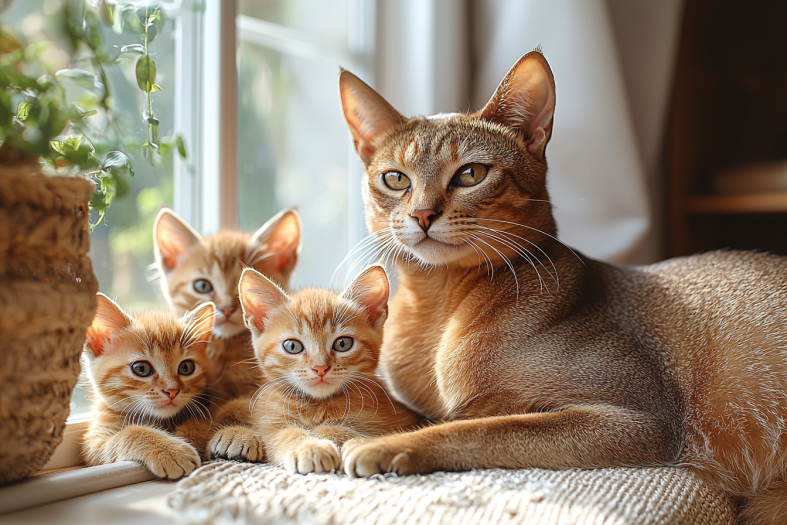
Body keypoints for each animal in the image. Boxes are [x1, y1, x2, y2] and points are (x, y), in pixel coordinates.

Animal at [81, 292, 215, 476]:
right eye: (141, 369)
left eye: (186, 367)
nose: (172, 391)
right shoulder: (94, 446)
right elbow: (129, 433)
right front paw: (170, 450)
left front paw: (190, 433)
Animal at [214, 264, 424, 472]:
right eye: (292, 346)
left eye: (343, 344)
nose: (320, 367)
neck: (316, 405)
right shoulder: (269, 416)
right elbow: (280, 432)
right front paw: (308, 447)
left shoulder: (400, 420)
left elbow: (348, 431)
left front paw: (325, 435)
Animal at [338, 50, 787, 524]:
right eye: (396, 179)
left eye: (471, 174)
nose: (423, 214)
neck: (438, 307)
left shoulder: (640, 418)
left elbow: (483, 428)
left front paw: (382, 445)